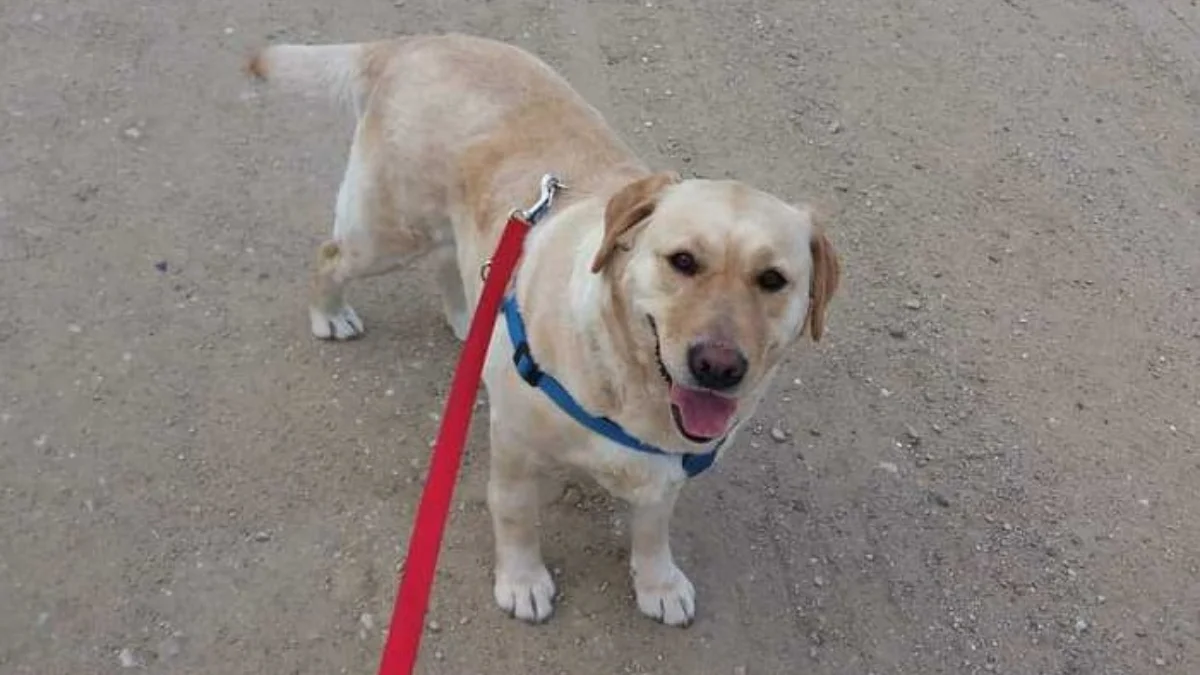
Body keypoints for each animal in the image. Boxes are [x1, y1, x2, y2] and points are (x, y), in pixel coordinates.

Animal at [247, 34, 839, 627]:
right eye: (683, 261)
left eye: (772, 279)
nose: (717, 367)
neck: (629, 386)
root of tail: (411, 42)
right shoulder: (514, 445)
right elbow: (514, 515)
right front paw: (522, 580)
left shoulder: (664, 472)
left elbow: (652, 529)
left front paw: (659, 582)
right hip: (387, 234)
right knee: (330, 257)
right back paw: (330, 313)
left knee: (446, 261)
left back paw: (472, 321)